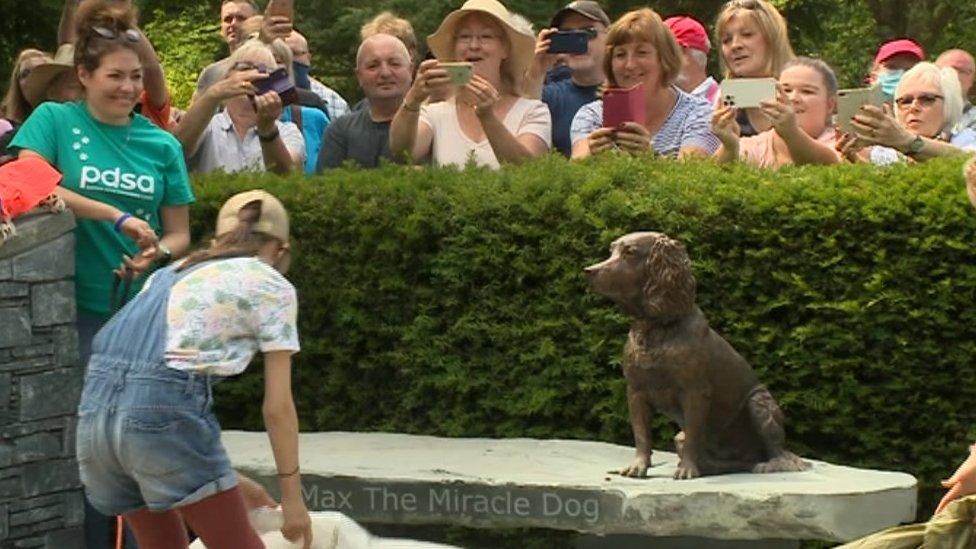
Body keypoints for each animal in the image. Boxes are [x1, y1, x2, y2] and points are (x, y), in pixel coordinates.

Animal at [584, 232, 804, 480]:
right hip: (685, 436)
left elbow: (693, 435)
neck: (656, 329)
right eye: (611, 250)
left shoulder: (695, 391)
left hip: (759, 403)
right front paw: (637, 466)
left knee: (779, 453)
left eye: (630, 252)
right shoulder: (636, 390)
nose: (589, 270)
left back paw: (768, 464)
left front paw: (686, 469)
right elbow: (642, 435)